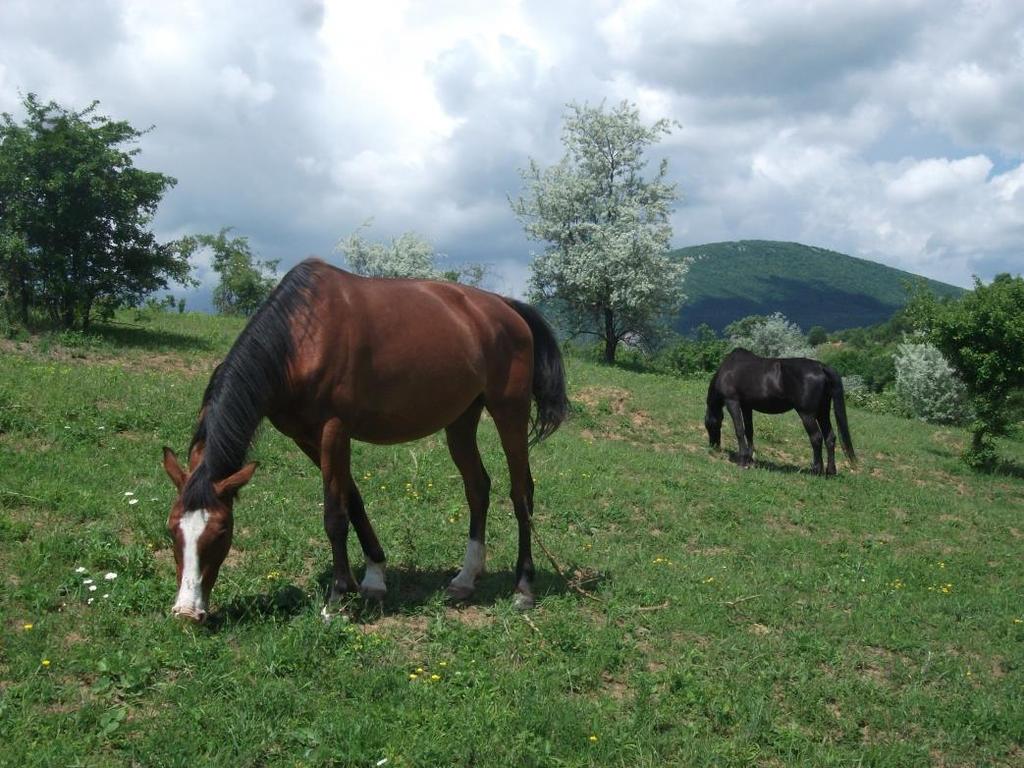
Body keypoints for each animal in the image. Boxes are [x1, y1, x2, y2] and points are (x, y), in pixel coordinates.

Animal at [163, 262, 573, 622]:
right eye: (171, 529)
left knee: (521, 492)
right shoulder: (306, 437)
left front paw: (337, 599)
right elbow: (353, 500)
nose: (187, 613)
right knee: (478, 488)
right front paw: (373, 577)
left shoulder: (333, 430)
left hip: (509, 412)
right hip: (461, 419)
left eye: (221, 531)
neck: (300, 338)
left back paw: (523, 587)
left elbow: (334, 514)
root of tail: (507, 307)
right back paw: (465, 578)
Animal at [704, 348, 856, 475]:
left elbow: (739, 430)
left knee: (816, 438)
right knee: (830, 437)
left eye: (708, 425)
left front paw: (742, 460)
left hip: (807, 414)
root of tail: (821, 367)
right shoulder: (747, 406)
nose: (714, 446)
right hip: (822, 412)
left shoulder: (732, 402)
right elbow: (749, 431)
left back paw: (816, 470)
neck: (729, 369)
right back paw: (830, 471)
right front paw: (750, 459)